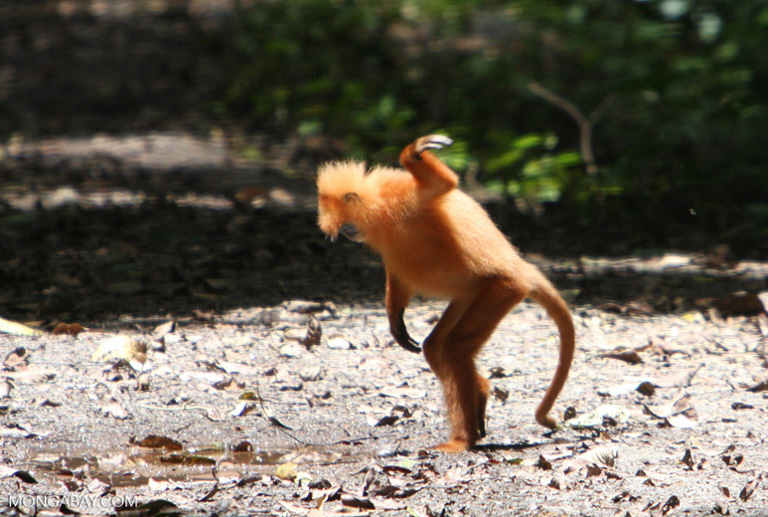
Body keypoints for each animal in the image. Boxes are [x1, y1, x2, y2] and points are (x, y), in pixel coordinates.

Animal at [316, 134, 572, 452]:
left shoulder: (405, 195)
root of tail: (521, 267)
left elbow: (444, 185)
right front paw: (395, 320)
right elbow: (398, 274)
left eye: (347, 227)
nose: (349, 236)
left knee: (454, 347)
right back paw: (480, 393)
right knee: (436, 345)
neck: (381, 208)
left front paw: (414, 153)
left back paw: (462, 440)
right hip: (471, 294)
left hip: (503, 287)